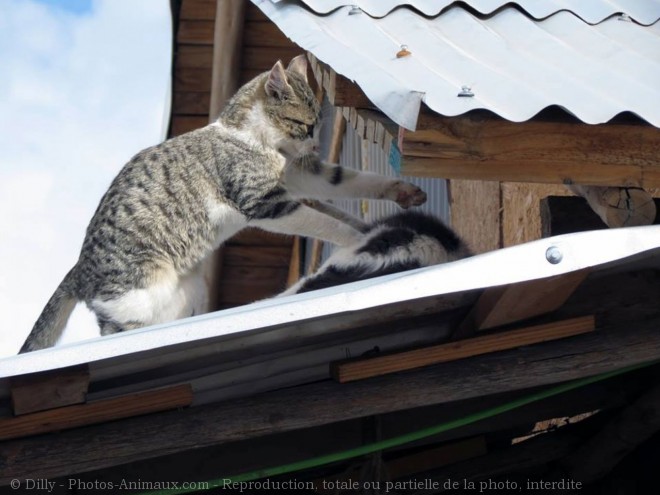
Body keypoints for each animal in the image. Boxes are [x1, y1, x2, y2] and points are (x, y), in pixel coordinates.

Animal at [20, 56, 426, 352]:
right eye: (305, 125)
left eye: (319, 126)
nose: (314, 144)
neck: (255, 140)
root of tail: (79, 270)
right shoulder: (266, 203)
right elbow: (329, 224)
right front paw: (360, 240)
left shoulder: (304, 176)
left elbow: (351, 184)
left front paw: (403, 195)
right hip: (138, 301)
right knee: (115, 333)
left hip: (185, 294)